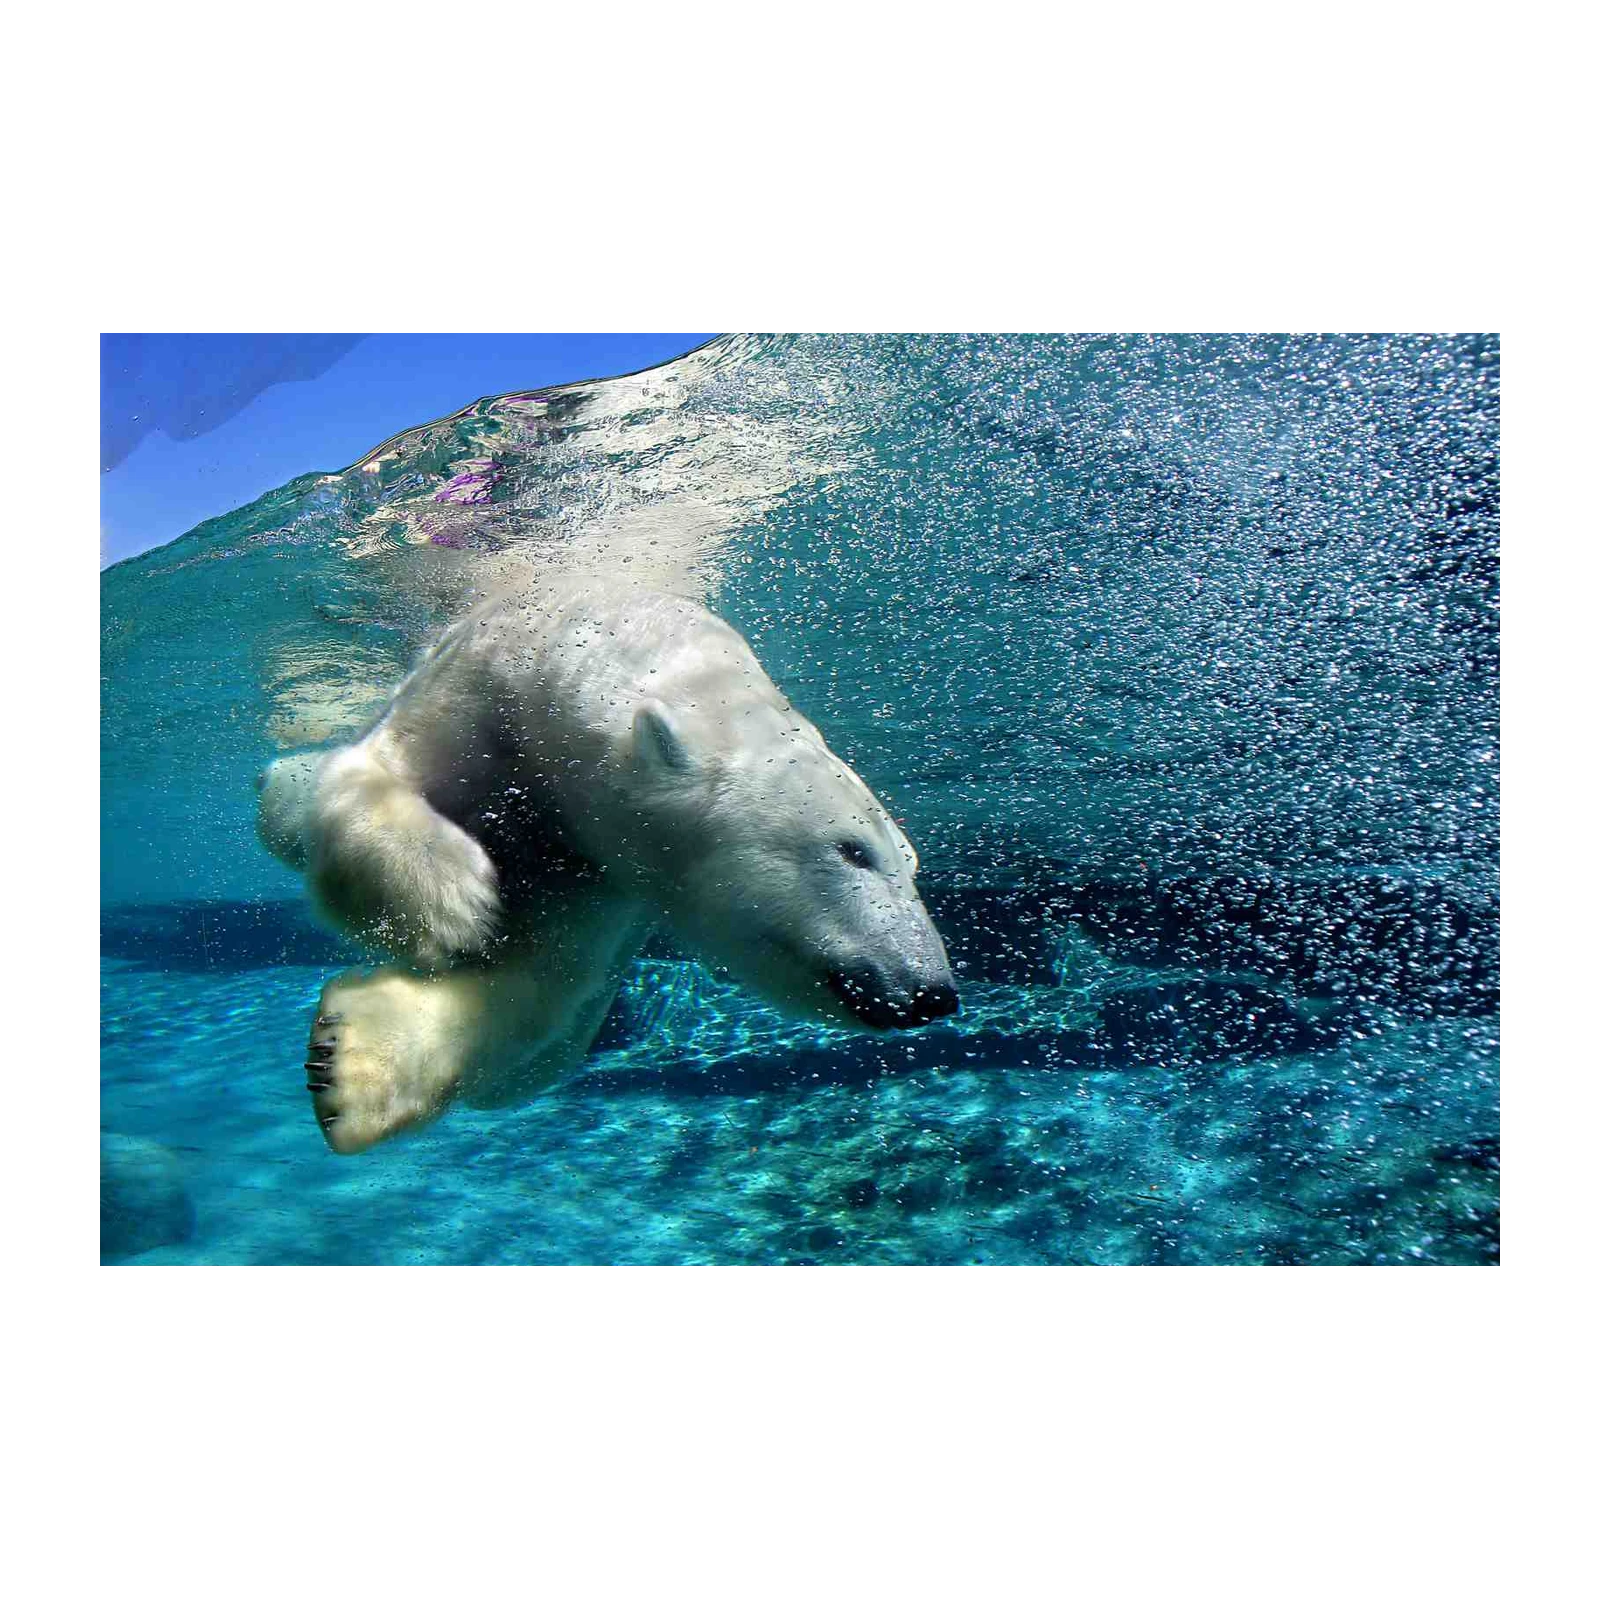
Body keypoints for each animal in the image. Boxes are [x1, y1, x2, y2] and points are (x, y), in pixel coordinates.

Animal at [257, 578, 958, 1154]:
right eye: (853, 850)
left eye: (912, 866)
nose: (932, 993)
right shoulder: (479, 692)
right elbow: (374, 774)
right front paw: (452, 902)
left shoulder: (605, 874)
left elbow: (540, 979)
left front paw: (348, 1063)